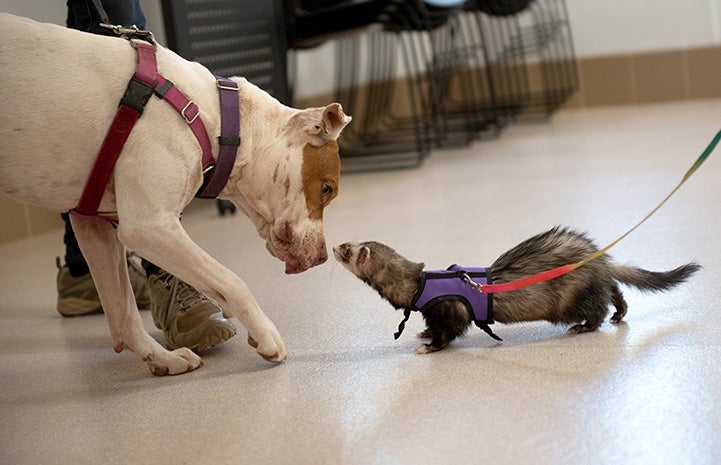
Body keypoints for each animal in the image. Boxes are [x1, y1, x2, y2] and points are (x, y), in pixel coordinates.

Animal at [0, 14, 352, 376]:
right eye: (326, 189)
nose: (322, 257)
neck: (218, 119)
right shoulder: (149, 226)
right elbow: (230, 280)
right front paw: (266, 334)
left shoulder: (94, 226)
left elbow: (123, 313)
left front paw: (163, 359)